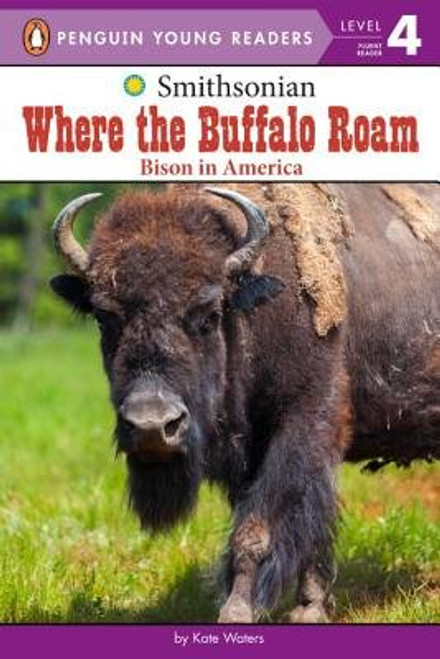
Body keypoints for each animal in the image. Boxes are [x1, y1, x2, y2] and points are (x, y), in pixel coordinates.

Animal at [50, 183, 440, 623]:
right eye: (104, 317)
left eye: (208, 313)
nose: (152, 427)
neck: (256, 306)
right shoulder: (249, 454)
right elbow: (297, 528)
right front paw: (307, 607)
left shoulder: (303, 427)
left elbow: (260, 527)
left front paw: (240, 611)